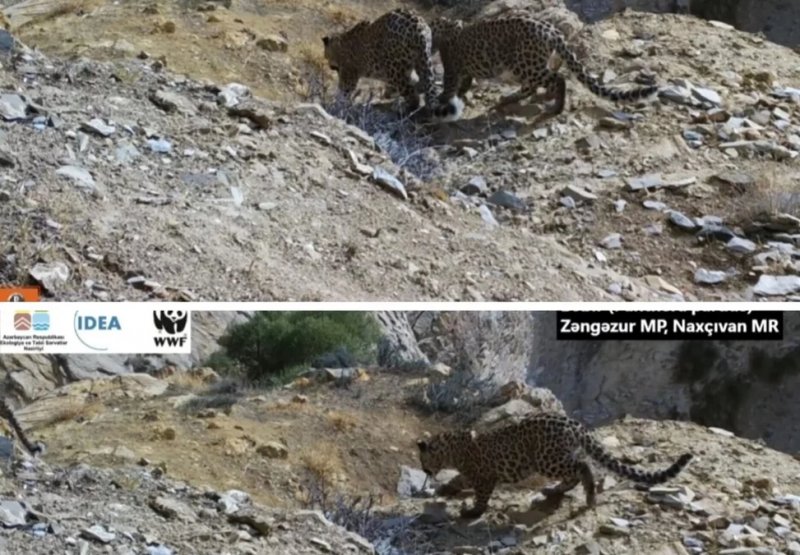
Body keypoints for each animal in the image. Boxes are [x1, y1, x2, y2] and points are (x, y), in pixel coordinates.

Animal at [417, 412, 692, 518]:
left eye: (421, 460)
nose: (424, 471)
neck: (450, 450)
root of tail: (574, 423)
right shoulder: (470, 474)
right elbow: (457, 480)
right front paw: (444, 489)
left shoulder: (484, 477)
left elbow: (481, 497)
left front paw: (472, 512)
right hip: (555, 458)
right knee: (574, 474)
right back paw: (553, 491)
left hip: (546, 459)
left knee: (583, 467)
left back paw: (590, 497)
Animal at [428, 15, 659, 121]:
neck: (443, 26)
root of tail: (552, 31)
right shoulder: (463, 72)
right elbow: (463, 85)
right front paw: (459, 96)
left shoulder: (451, 70)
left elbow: (449, 88)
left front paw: (441, 101)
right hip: (527, 65)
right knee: (534, 85)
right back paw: (509, 98)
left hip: (524, 64)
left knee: (558, 79)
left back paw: (556, 108)